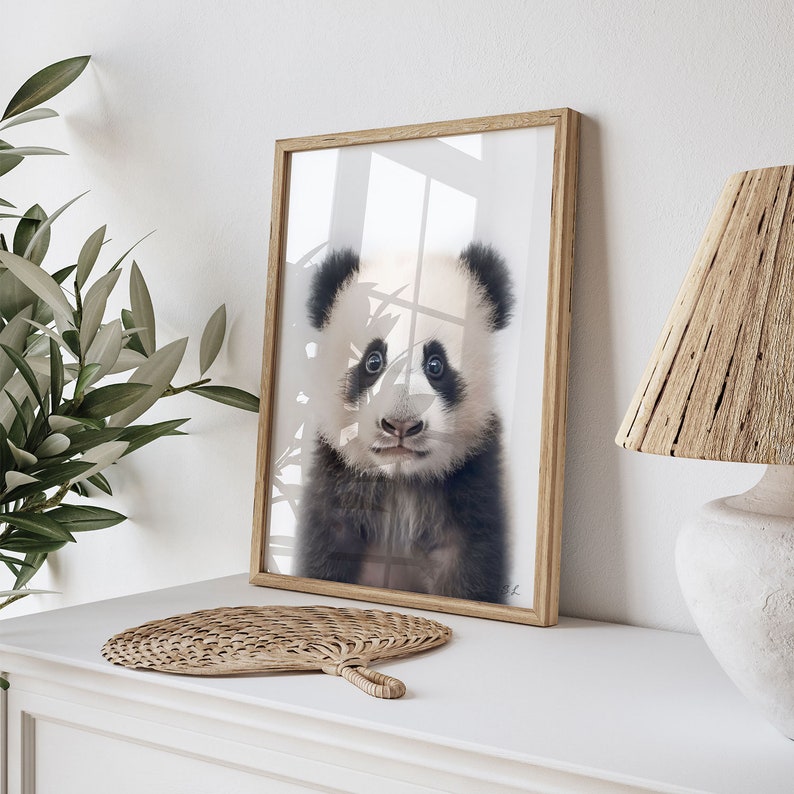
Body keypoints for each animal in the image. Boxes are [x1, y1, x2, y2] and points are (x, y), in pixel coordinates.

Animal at [295, 242, 514, 604]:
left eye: (436, 364)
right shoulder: (338, 481)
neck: (401, 482)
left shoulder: (471, 483)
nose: (400, 425)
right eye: (373, 361)